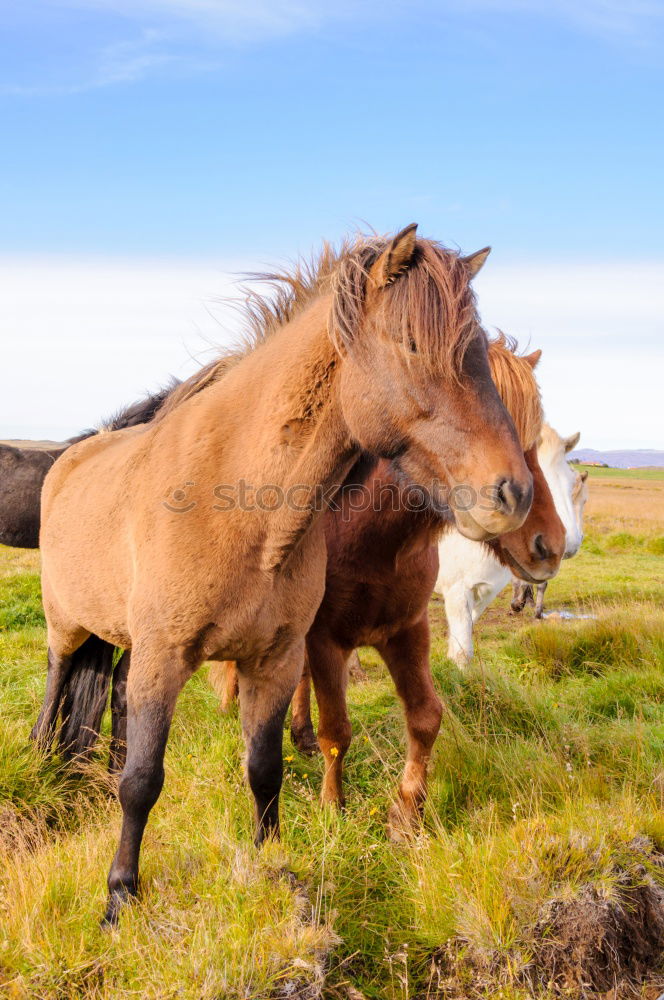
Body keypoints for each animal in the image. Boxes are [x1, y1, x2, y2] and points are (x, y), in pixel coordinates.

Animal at [210, 334, 564, 836]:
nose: (550, 545)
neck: (372, 541)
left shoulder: (408, 630)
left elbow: (426, 717)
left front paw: (406, 812)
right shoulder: (327, 640)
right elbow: (337, 728)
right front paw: (332, 807)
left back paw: (298, 734)